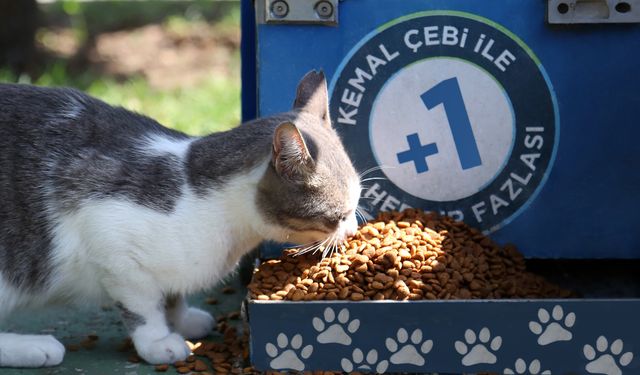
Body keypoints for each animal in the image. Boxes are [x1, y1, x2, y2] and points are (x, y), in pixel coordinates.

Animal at [0, 70, 360, 368]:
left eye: (357, 204)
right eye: (339, 215)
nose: (354, 230)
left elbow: (172, 294)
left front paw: (182, 318)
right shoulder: (113, 248)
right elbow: (144, 307)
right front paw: (158, 341)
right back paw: (34, 347)